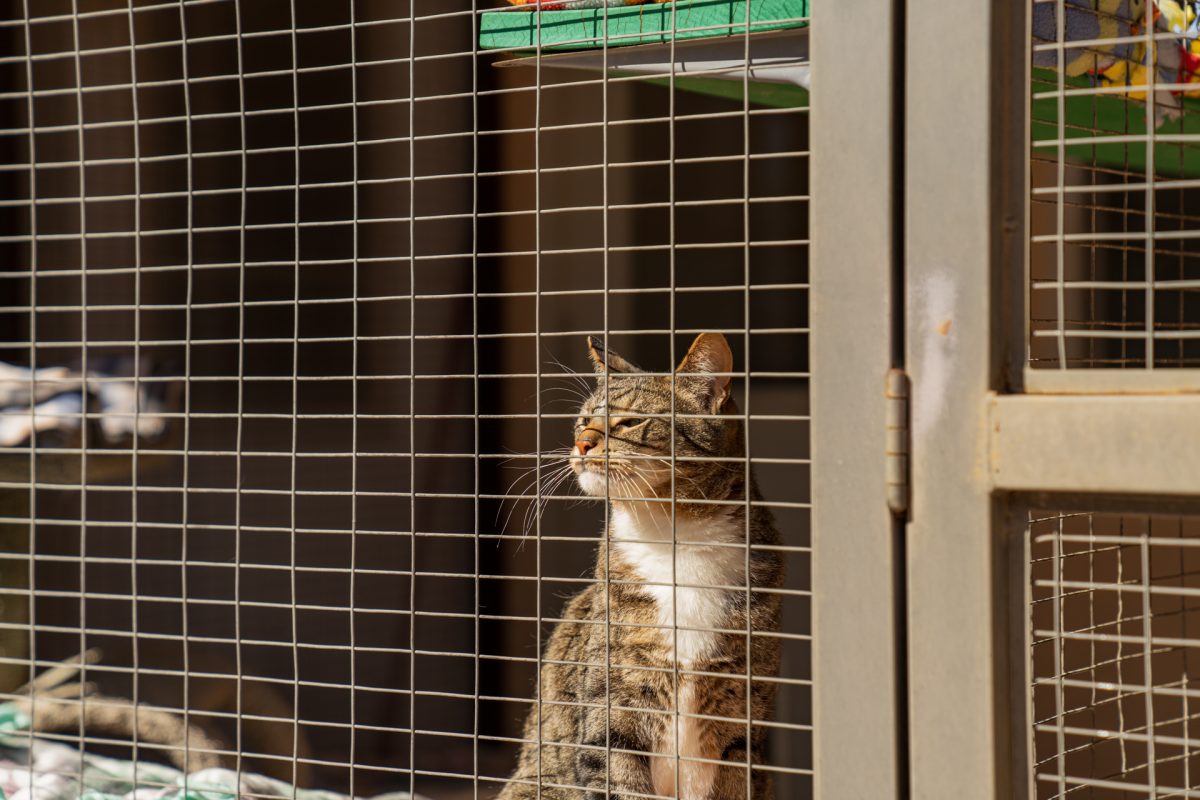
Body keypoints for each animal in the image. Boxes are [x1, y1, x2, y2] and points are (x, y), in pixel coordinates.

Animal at [499, 331, 787, 800]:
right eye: (584, 420)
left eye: (631, 422)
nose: (582, 443)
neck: (676, 540)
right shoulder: (612, 712)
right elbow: (618, 777)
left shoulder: (742, 723)